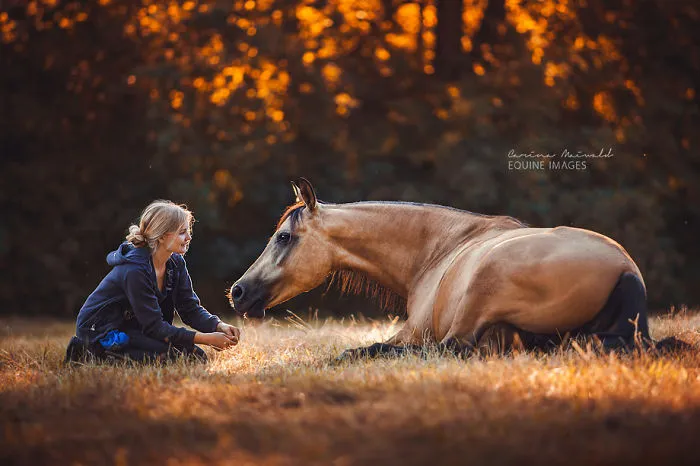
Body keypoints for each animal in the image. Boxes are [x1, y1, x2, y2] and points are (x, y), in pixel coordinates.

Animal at [229, 178, 658, 360]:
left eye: (283, 237)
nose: (237, 291)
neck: (438, 249)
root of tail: (626, 272)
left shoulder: (412, 332)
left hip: (482, 287)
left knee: (451, 348)